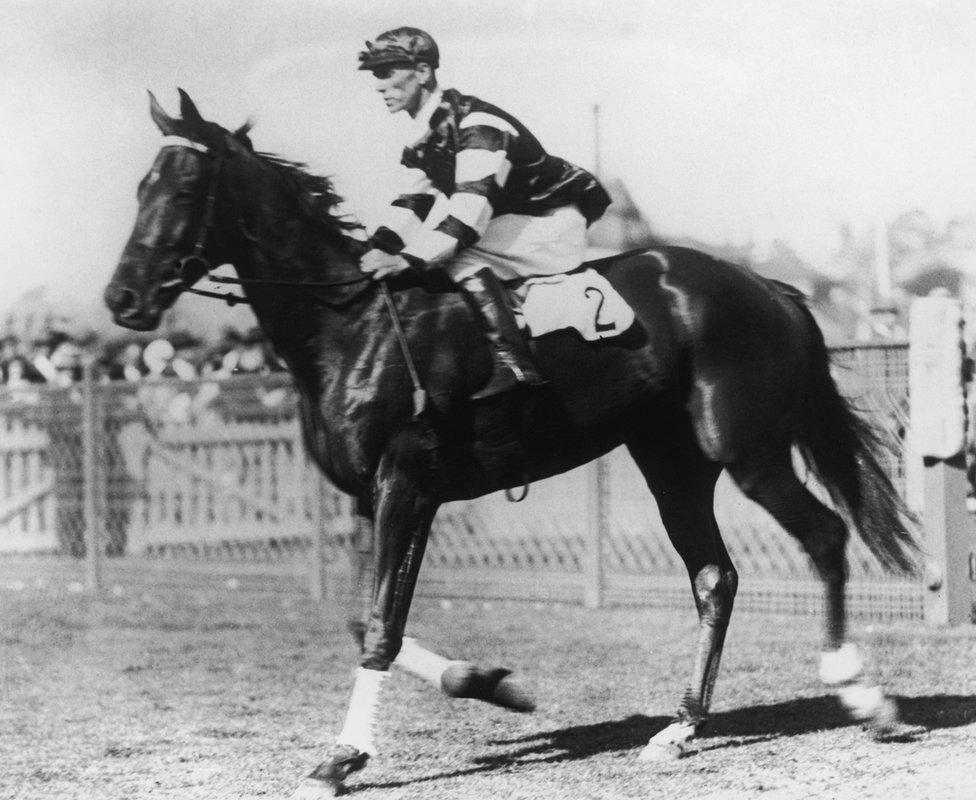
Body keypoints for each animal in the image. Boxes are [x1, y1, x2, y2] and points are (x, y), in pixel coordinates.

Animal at [103, 90, 920, 796]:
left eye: (184, 189)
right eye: (140, 187)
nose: (123, 297)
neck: (351, 326)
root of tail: (768, 288)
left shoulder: (407, 486)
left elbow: (380, 628)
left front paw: (339, 758)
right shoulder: (376, 499)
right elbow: (366, 618)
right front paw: (491, 685)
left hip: (746, 451)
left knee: (824, 537)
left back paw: (863, 696)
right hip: (672, 464)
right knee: (715, 577)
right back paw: (681, 727)